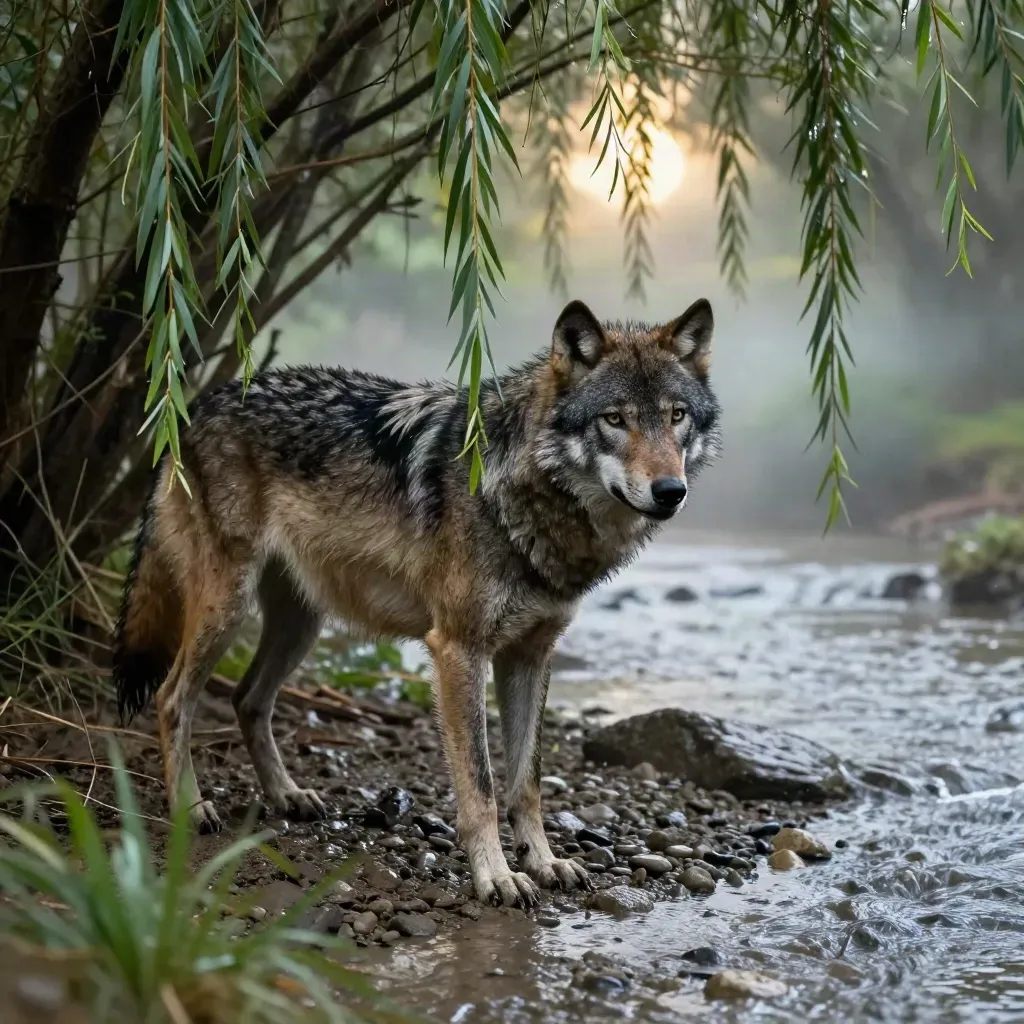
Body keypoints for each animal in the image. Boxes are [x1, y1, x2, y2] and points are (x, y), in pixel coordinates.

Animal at [112, 297, 721, 907]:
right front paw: (497, 876)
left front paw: (545, 862)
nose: (671, 491)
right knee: (172, 698)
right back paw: (191, 807)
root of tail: (194, 403)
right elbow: (482, 786)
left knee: (247, 699)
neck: (523, 496)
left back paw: (288, 794)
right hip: (228, 609)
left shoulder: (529, 656)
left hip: (302, 624)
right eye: (614, 419)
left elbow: (526, 784)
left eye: (676, 416)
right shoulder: (458, 650)